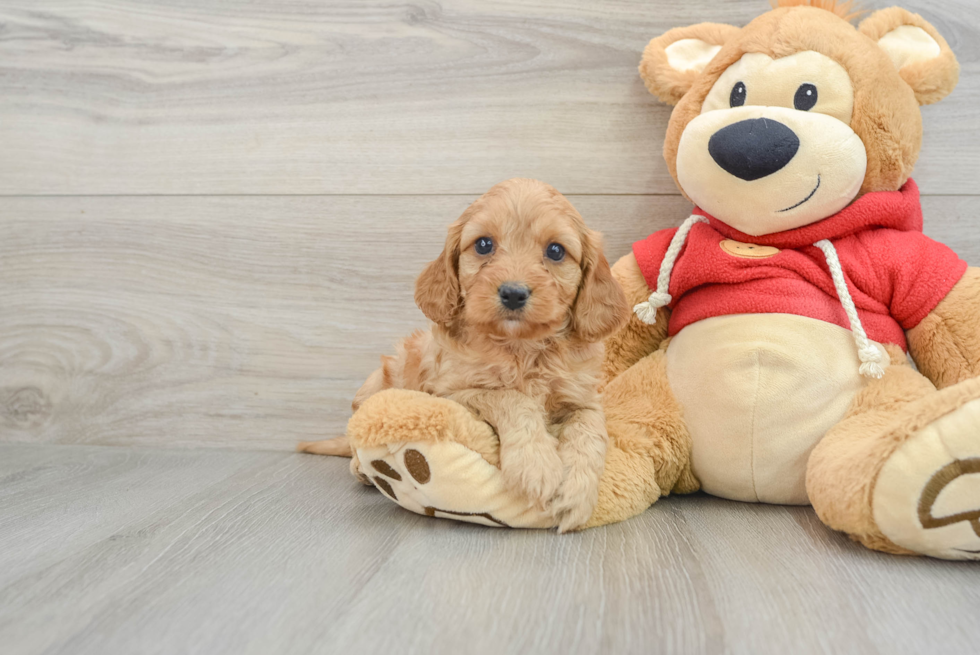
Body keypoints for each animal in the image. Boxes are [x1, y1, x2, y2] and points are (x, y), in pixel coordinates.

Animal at [298, 179, 628, 532]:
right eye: (483, 244)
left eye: (555, 251)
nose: (513, 293)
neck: (520, 347)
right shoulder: (449, 392)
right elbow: (511, 397)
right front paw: (536, 465)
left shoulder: (584, 398)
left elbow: (590, 431)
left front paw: (577, 493)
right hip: (376, 384)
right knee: (355, 440)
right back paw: (363, 468)